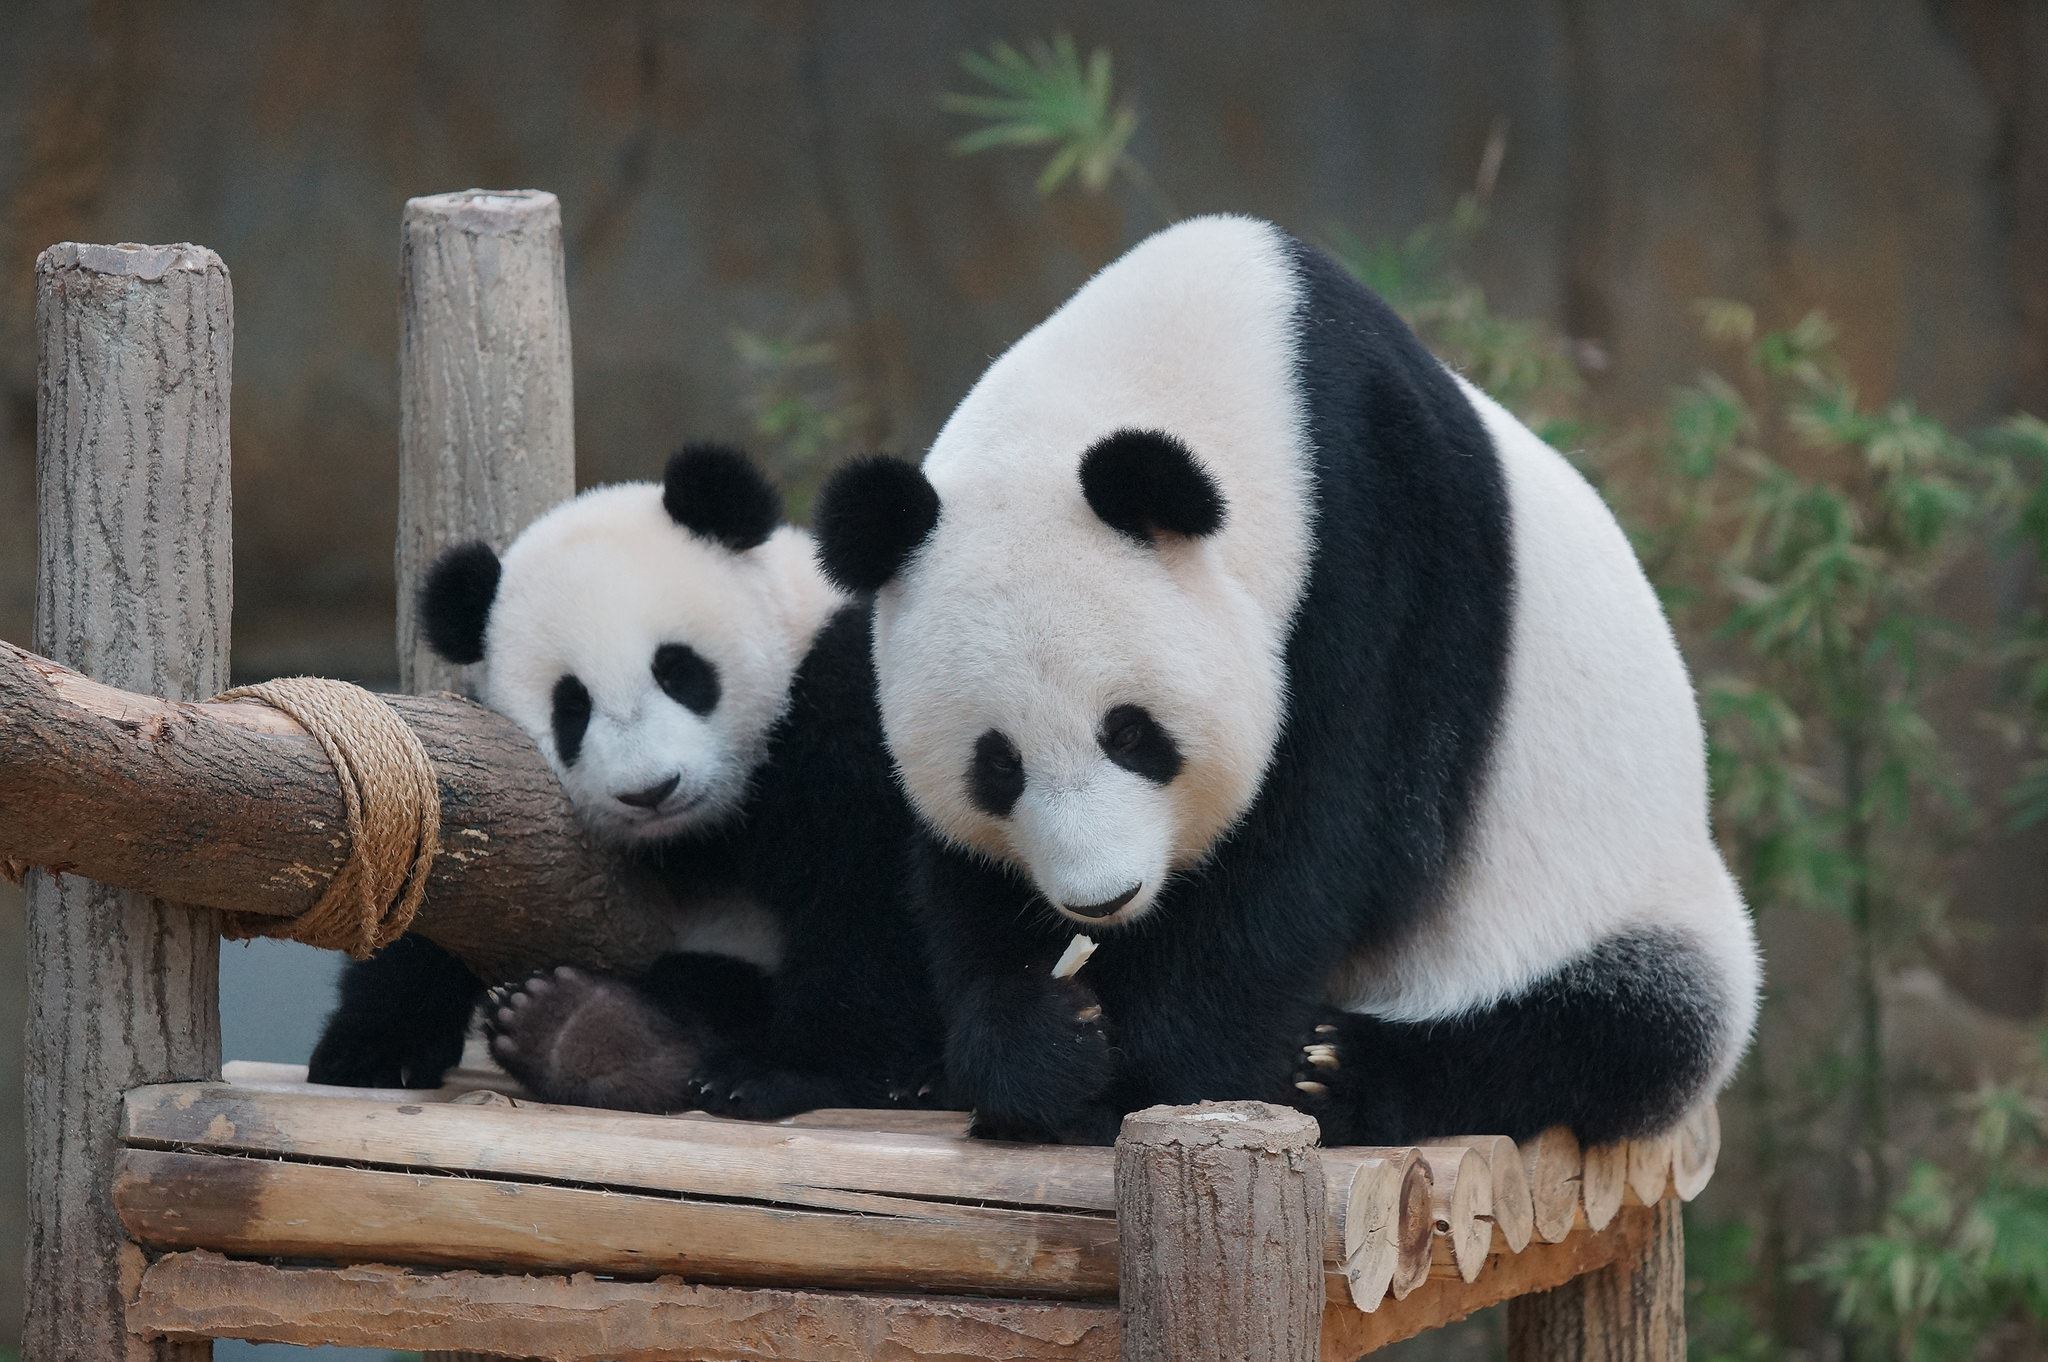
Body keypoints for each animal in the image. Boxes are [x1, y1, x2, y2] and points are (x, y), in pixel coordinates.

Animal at [308, 444, 943, 1117]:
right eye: (571, 708)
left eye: (679, 671)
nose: (651, 790)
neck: (702, 837)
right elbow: (448, 887)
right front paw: (371, 1047)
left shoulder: (843, 698)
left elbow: (864, 889)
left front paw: (782, 1071)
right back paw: (589, 1037)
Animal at [812, 215, 1762, 1147]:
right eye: (997, 766)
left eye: (1131, 733)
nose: (1103, 899)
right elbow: (969, 885)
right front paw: (1043, 1046)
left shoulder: (1381, 549)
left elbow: (1322, 842)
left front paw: (1159, 1081)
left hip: (1614, 909)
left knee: (1613, 1030)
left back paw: (1340, 1071)